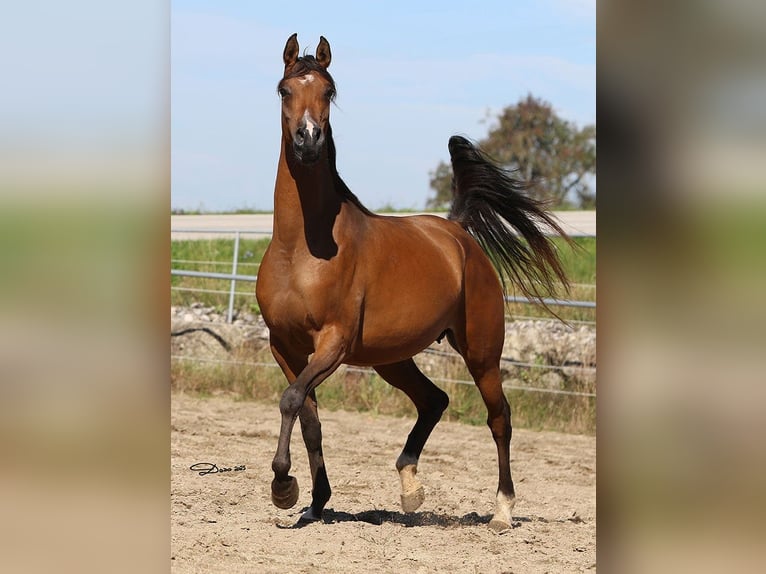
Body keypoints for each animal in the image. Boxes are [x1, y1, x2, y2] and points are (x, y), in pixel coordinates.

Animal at [255, 33, 572, 533]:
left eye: (330, 91)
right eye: (284, 90)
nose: (308, 140)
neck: (301, 249)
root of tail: (458, 233)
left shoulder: (333, 343)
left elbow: (290, 401)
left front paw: (283, 488)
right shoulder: (283, 345)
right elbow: (308, 416)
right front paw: (314, 503)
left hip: (481, 352)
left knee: (499, 417)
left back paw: (502, 510)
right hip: (392, 358)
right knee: (434, 400)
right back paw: (409, 487)